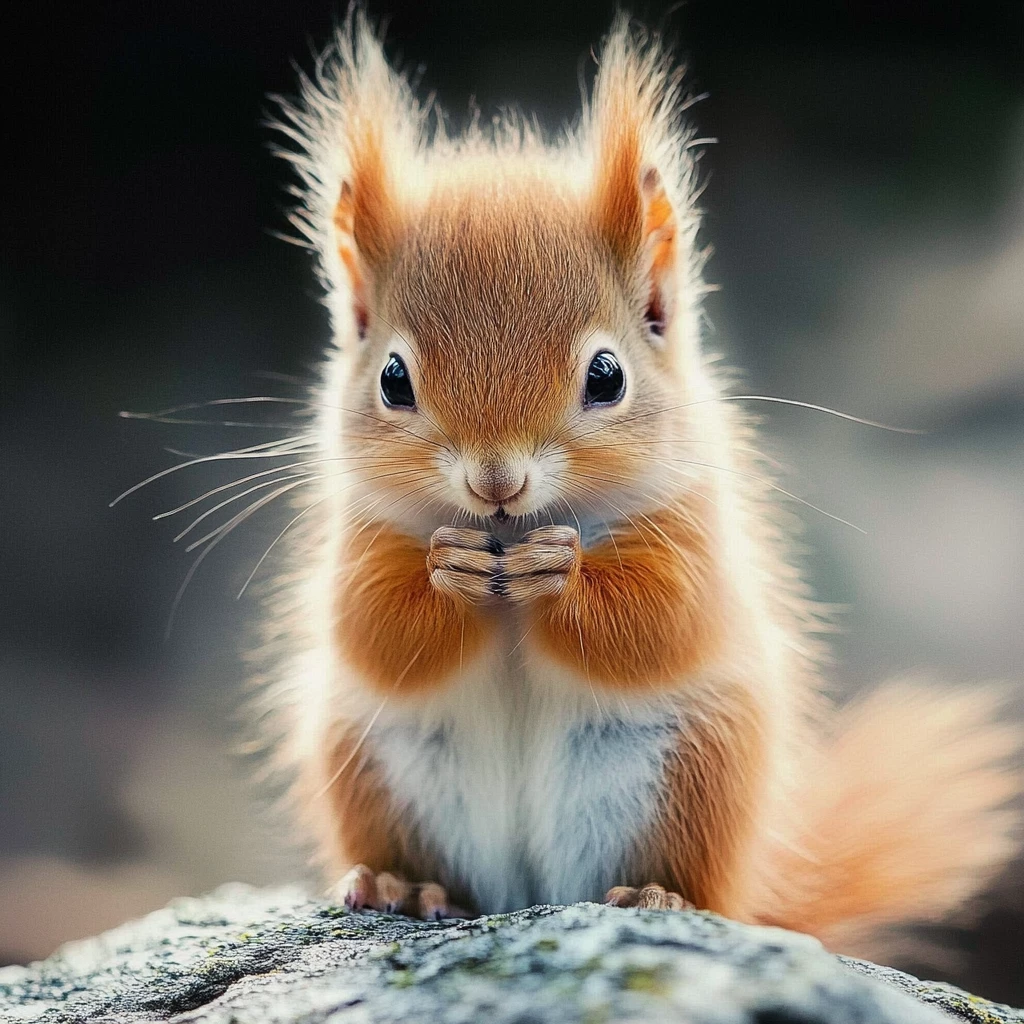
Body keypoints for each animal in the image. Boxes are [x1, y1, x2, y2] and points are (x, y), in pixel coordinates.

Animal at [253, 12, 1015, 954]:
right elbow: (369, 625)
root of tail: (525, 892)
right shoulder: (358, 530)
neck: (511, 532)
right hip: (372, 763)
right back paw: (407, 884)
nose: (496, 483)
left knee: (696, 882)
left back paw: (661, 898)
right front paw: (448, 569)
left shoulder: (692, 519)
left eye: (607, 376)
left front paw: (560, 572)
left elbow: (662, 617)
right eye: (394, 380)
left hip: (694, 775)